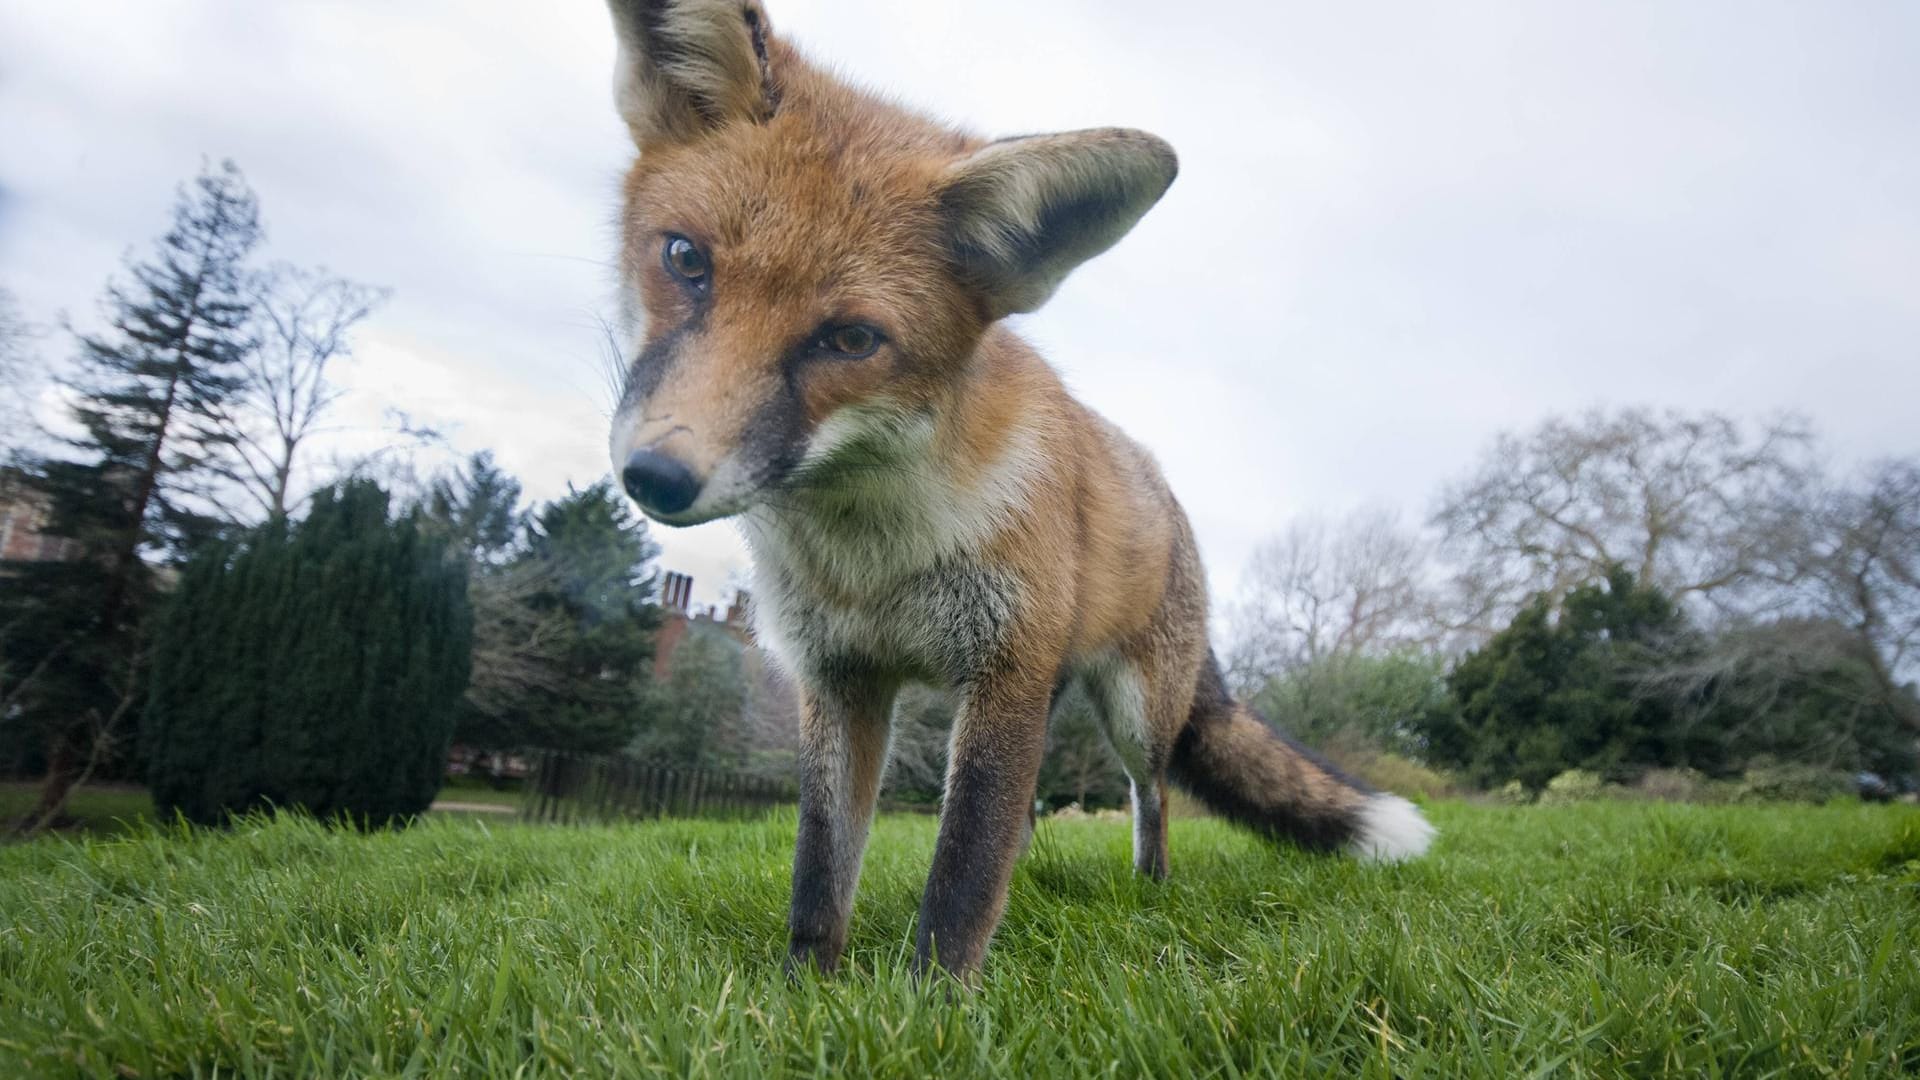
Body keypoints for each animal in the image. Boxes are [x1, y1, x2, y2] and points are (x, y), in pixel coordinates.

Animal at [602, 0, 1443, 976]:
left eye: (850, 340)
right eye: (685, 259)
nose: (657, 476)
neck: (872, 556)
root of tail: (1171, 499)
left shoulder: (1003, 670)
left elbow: (964, 872)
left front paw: (932, 998)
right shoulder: (842, 677)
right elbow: (822, 867)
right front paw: (805, 986)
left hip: (1132, 712)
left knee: (1153, 797)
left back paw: (1149, 892)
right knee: (1036, 814)